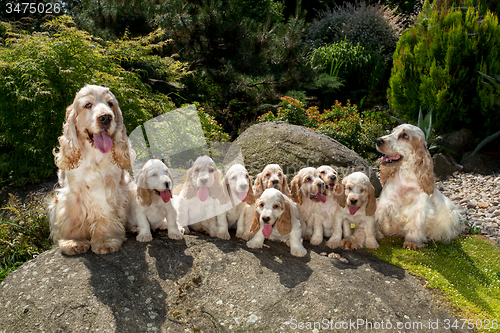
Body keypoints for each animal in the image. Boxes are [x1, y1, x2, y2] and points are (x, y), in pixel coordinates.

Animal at [48, 83, 135, 254]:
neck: (94, 154)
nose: (106, 117)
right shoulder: (73, 193)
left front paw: (106, 240)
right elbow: (73, 217)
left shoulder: (109, 190)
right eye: (88, 105)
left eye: (110, 104)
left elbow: (105, 214)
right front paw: (74, 241)